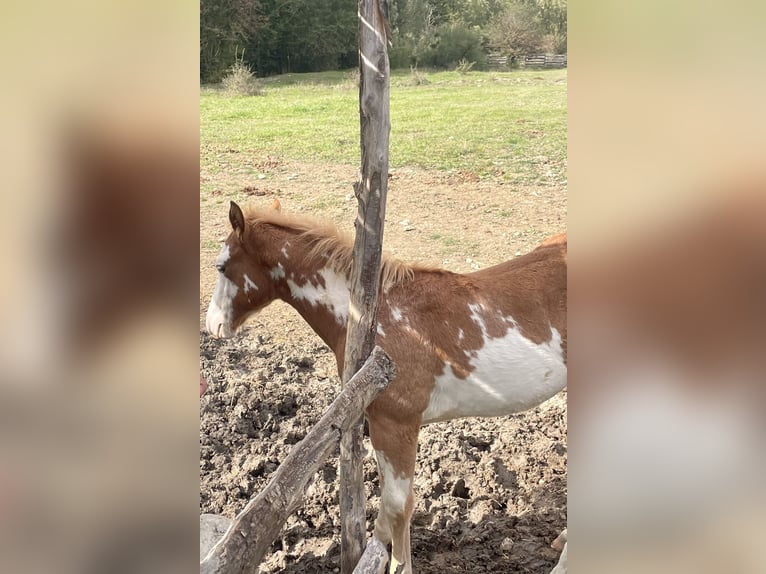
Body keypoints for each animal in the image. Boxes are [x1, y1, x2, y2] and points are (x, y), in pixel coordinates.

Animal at [205, 200, 567, 574]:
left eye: (221, 266)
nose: (212, 324)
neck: (375, 317)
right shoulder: (379, 423)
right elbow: (388, 508)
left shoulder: (397, 425)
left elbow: (397, 504)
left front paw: (399, 565)